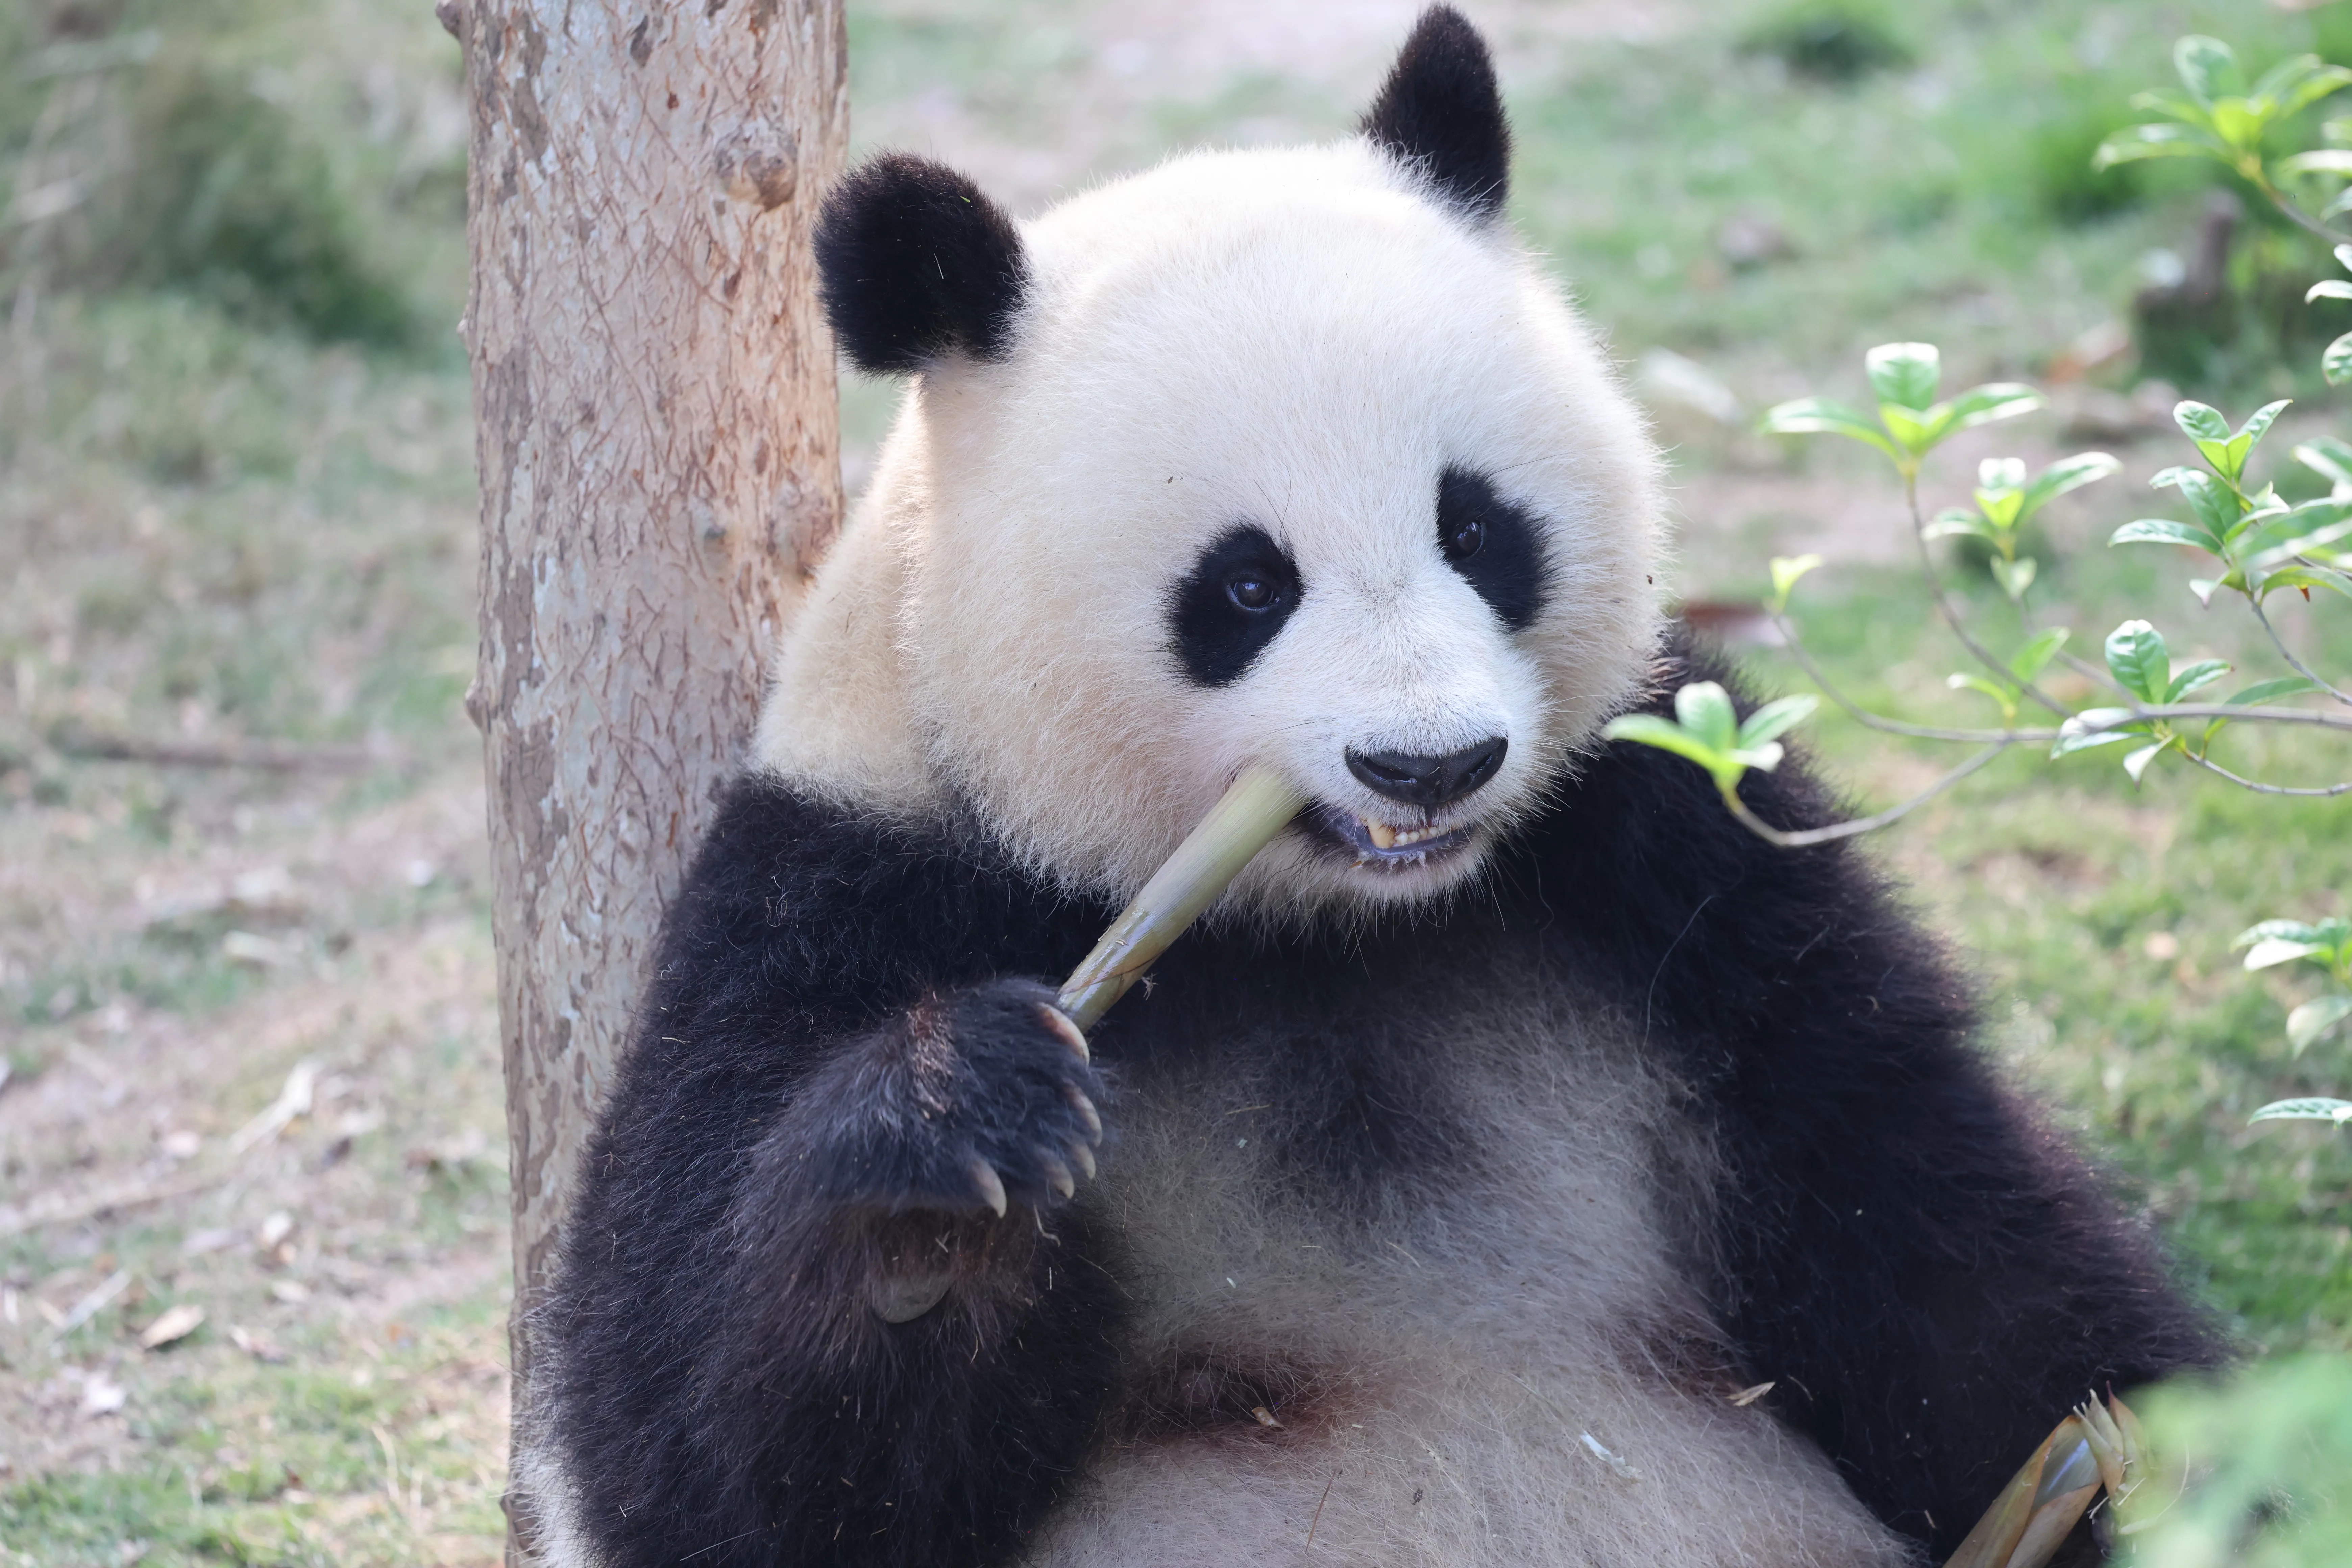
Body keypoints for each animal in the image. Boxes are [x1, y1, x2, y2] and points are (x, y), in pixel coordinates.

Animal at [523, 9, 2218, 1566]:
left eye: (1477, 527)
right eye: (1244, 585)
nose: (1430, 762)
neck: (1335, 925)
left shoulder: (1676, 838)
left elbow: (1928, 1226)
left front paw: (2150, 1464)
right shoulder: (842, 883)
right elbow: (702, 1452)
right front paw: (947, 1167)